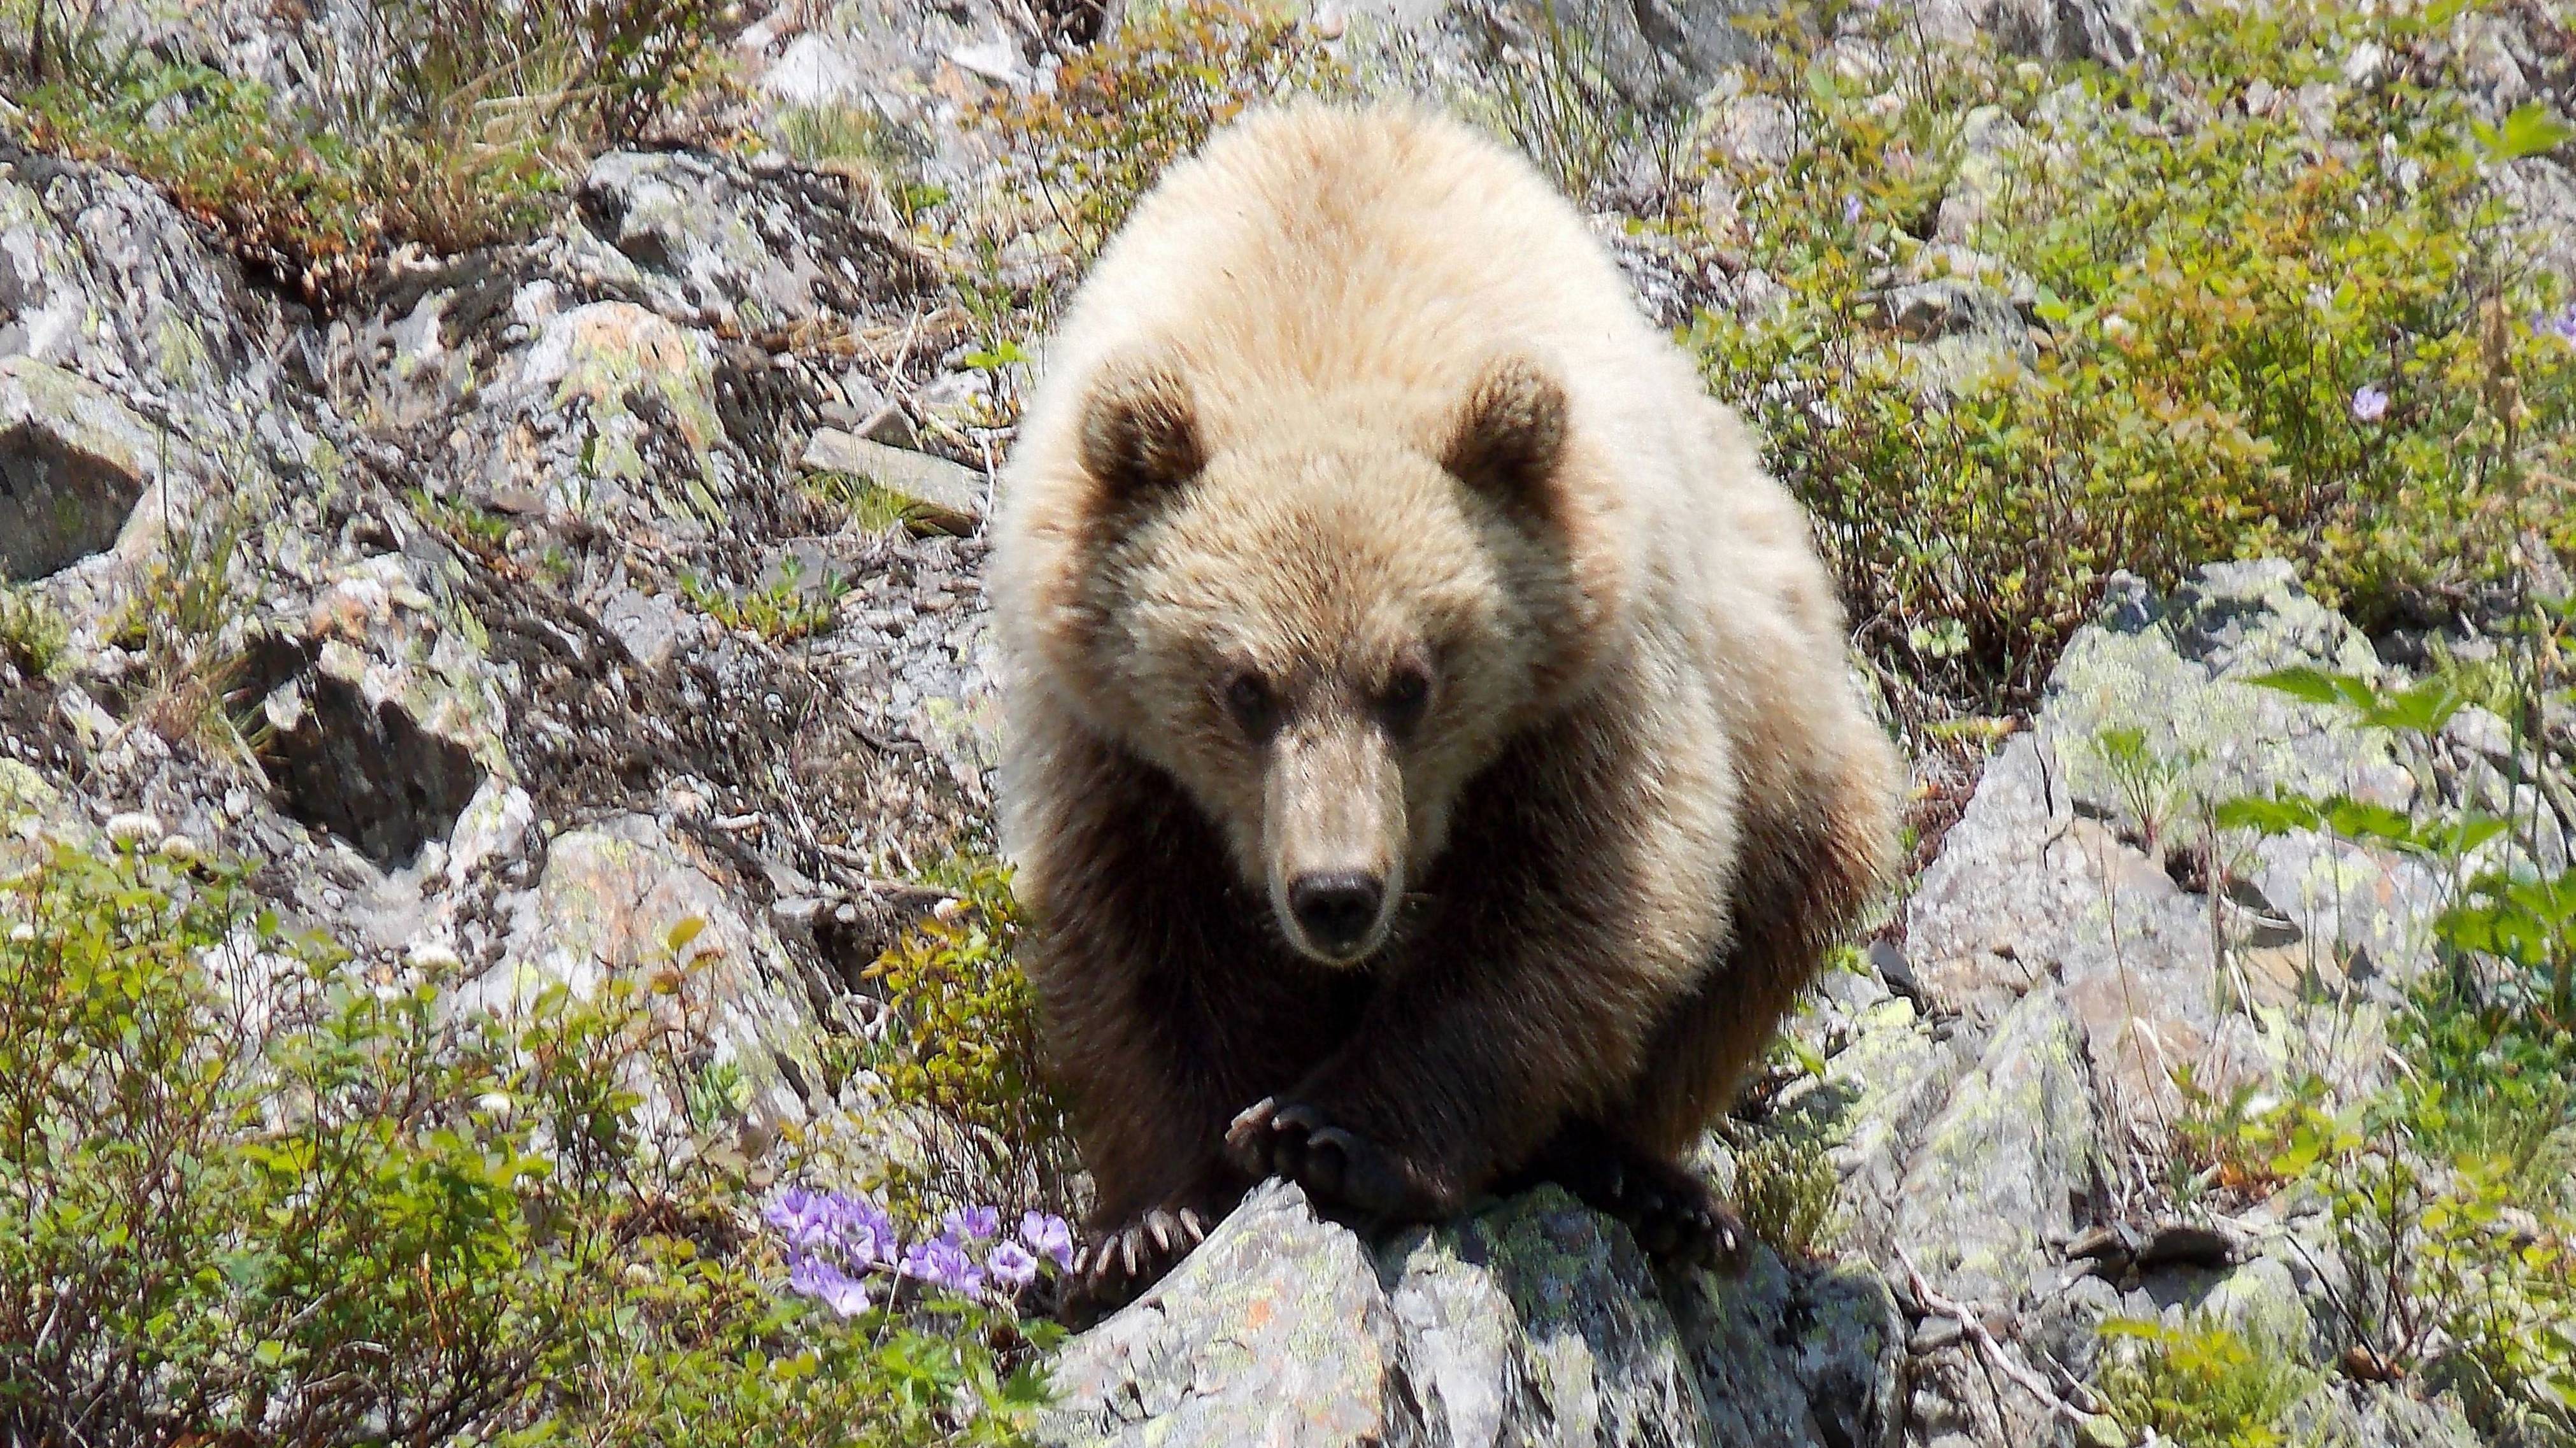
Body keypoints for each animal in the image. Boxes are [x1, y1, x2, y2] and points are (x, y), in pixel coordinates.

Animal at [994, 98, 1906, 1319]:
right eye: (1245, 686)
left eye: (1410, 681)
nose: (1337, 893)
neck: (1312, 319)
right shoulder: (1108, 738)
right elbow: (1139, 938)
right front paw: (1146, 1218)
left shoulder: (1587, 681)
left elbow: (1583, 899)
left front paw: (1329, 1131)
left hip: (1783, 712)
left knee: (1766, 916)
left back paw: (1647, 1181)